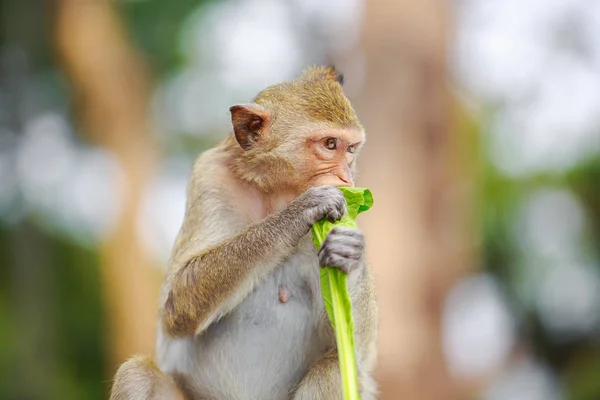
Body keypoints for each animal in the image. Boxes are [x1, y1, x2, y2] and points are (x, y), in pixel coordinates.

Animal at [110, 66, 378, 400]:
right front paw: (302, 210)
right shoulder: (209, 176)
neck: (273, 196)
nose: (347, 178)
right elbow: (178, 302)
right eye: (330, 144)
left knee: (333, 369)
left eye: (351, 149)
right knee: (137, 373)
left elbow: (352, 352)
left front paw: (349, 252)